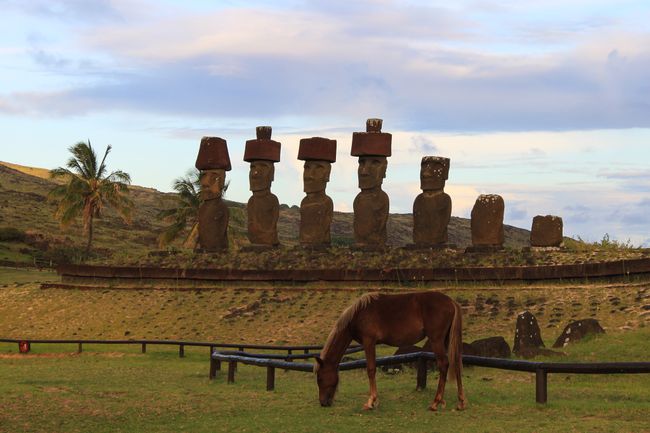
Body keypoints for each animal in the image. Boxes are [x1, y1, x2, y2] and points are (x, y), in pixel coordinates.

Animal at [316, 290, 464, 408]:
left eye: (320, 379)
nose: (323, 403)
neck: (358, 314)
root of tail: (451, 302)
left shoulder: (369, 342)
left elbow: (371, 369)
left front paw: (371, 401)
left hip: (436, 340)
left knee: (443, 364)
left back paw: (436, 402)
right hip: (447, 340)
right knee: (456, 363)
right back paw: (461, 402)